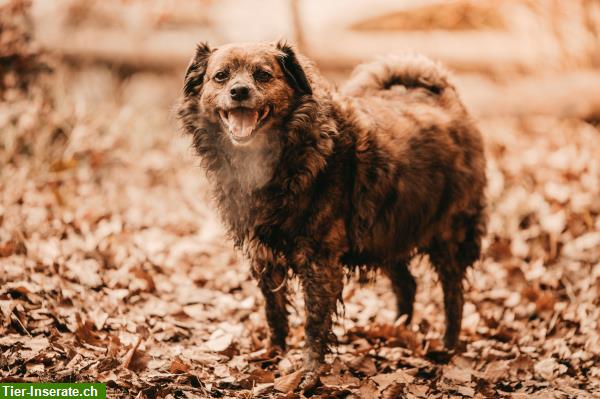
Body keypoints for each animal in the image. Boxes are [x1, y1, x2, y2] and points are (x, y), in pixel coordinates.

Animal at [176, 41, 486, 390]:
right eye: (220, 76)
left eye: (263, 75)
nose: (239, 91)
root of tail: (446, 99)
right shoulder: (263, 256)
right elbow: (274, 310)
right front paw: (273, 352)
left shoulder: (319, 261)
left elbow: (314, 322)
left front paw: (309, 374)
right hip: (387, 233)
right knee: (407, 284)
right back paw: (397, 333)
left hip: (450, 235)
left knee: (453, 294)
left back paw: (447, 346)